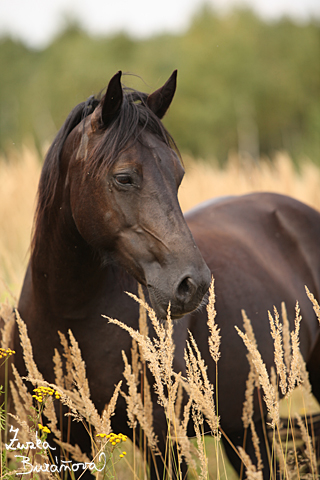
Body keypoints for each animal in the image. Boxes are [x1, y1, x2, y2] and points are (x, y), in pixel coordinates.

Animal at [14, 69, 320, 478]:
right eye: (124, 177)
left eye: (179, 174)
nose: (194, 285)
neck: (68, 315)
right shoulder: (62, 443)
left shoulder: (163, 443)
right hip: (247, 427)